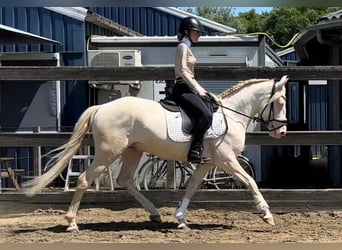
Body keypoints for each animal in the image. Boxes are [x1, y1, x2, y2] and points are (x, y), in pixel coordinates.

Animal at [22, 75, 288, 231]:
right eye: (281, 101)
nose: (282, 132)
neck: (231, 115)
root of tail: (101, 107)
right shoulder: (226, 159)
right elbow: (251, 181)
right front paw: (267, 215)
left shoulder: (206, 162)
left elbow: (192, 186)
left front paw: (180, 218)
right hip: (109, 152)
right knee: (86, 180)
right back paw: (72, 223)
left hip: (132, 151)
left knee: (125, 180)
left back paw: (155, 214)